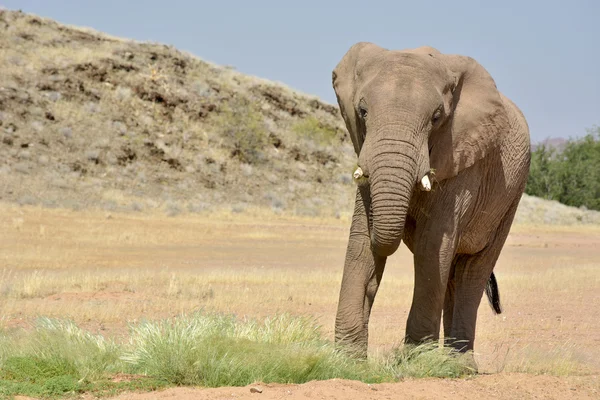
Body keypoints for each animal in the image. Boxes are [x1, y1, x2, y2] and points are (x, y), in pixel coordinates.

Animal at [330, 42, 532, 360]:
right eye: (362, 112)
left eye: (437, 118)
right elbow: (361, 241)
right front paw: (348, 361)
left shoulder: (461, 158)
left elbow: (432, 246)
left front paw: (415, 362)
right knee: (451, 275)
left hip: (510, 198)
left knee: (471, 272)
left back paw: (458, 366)